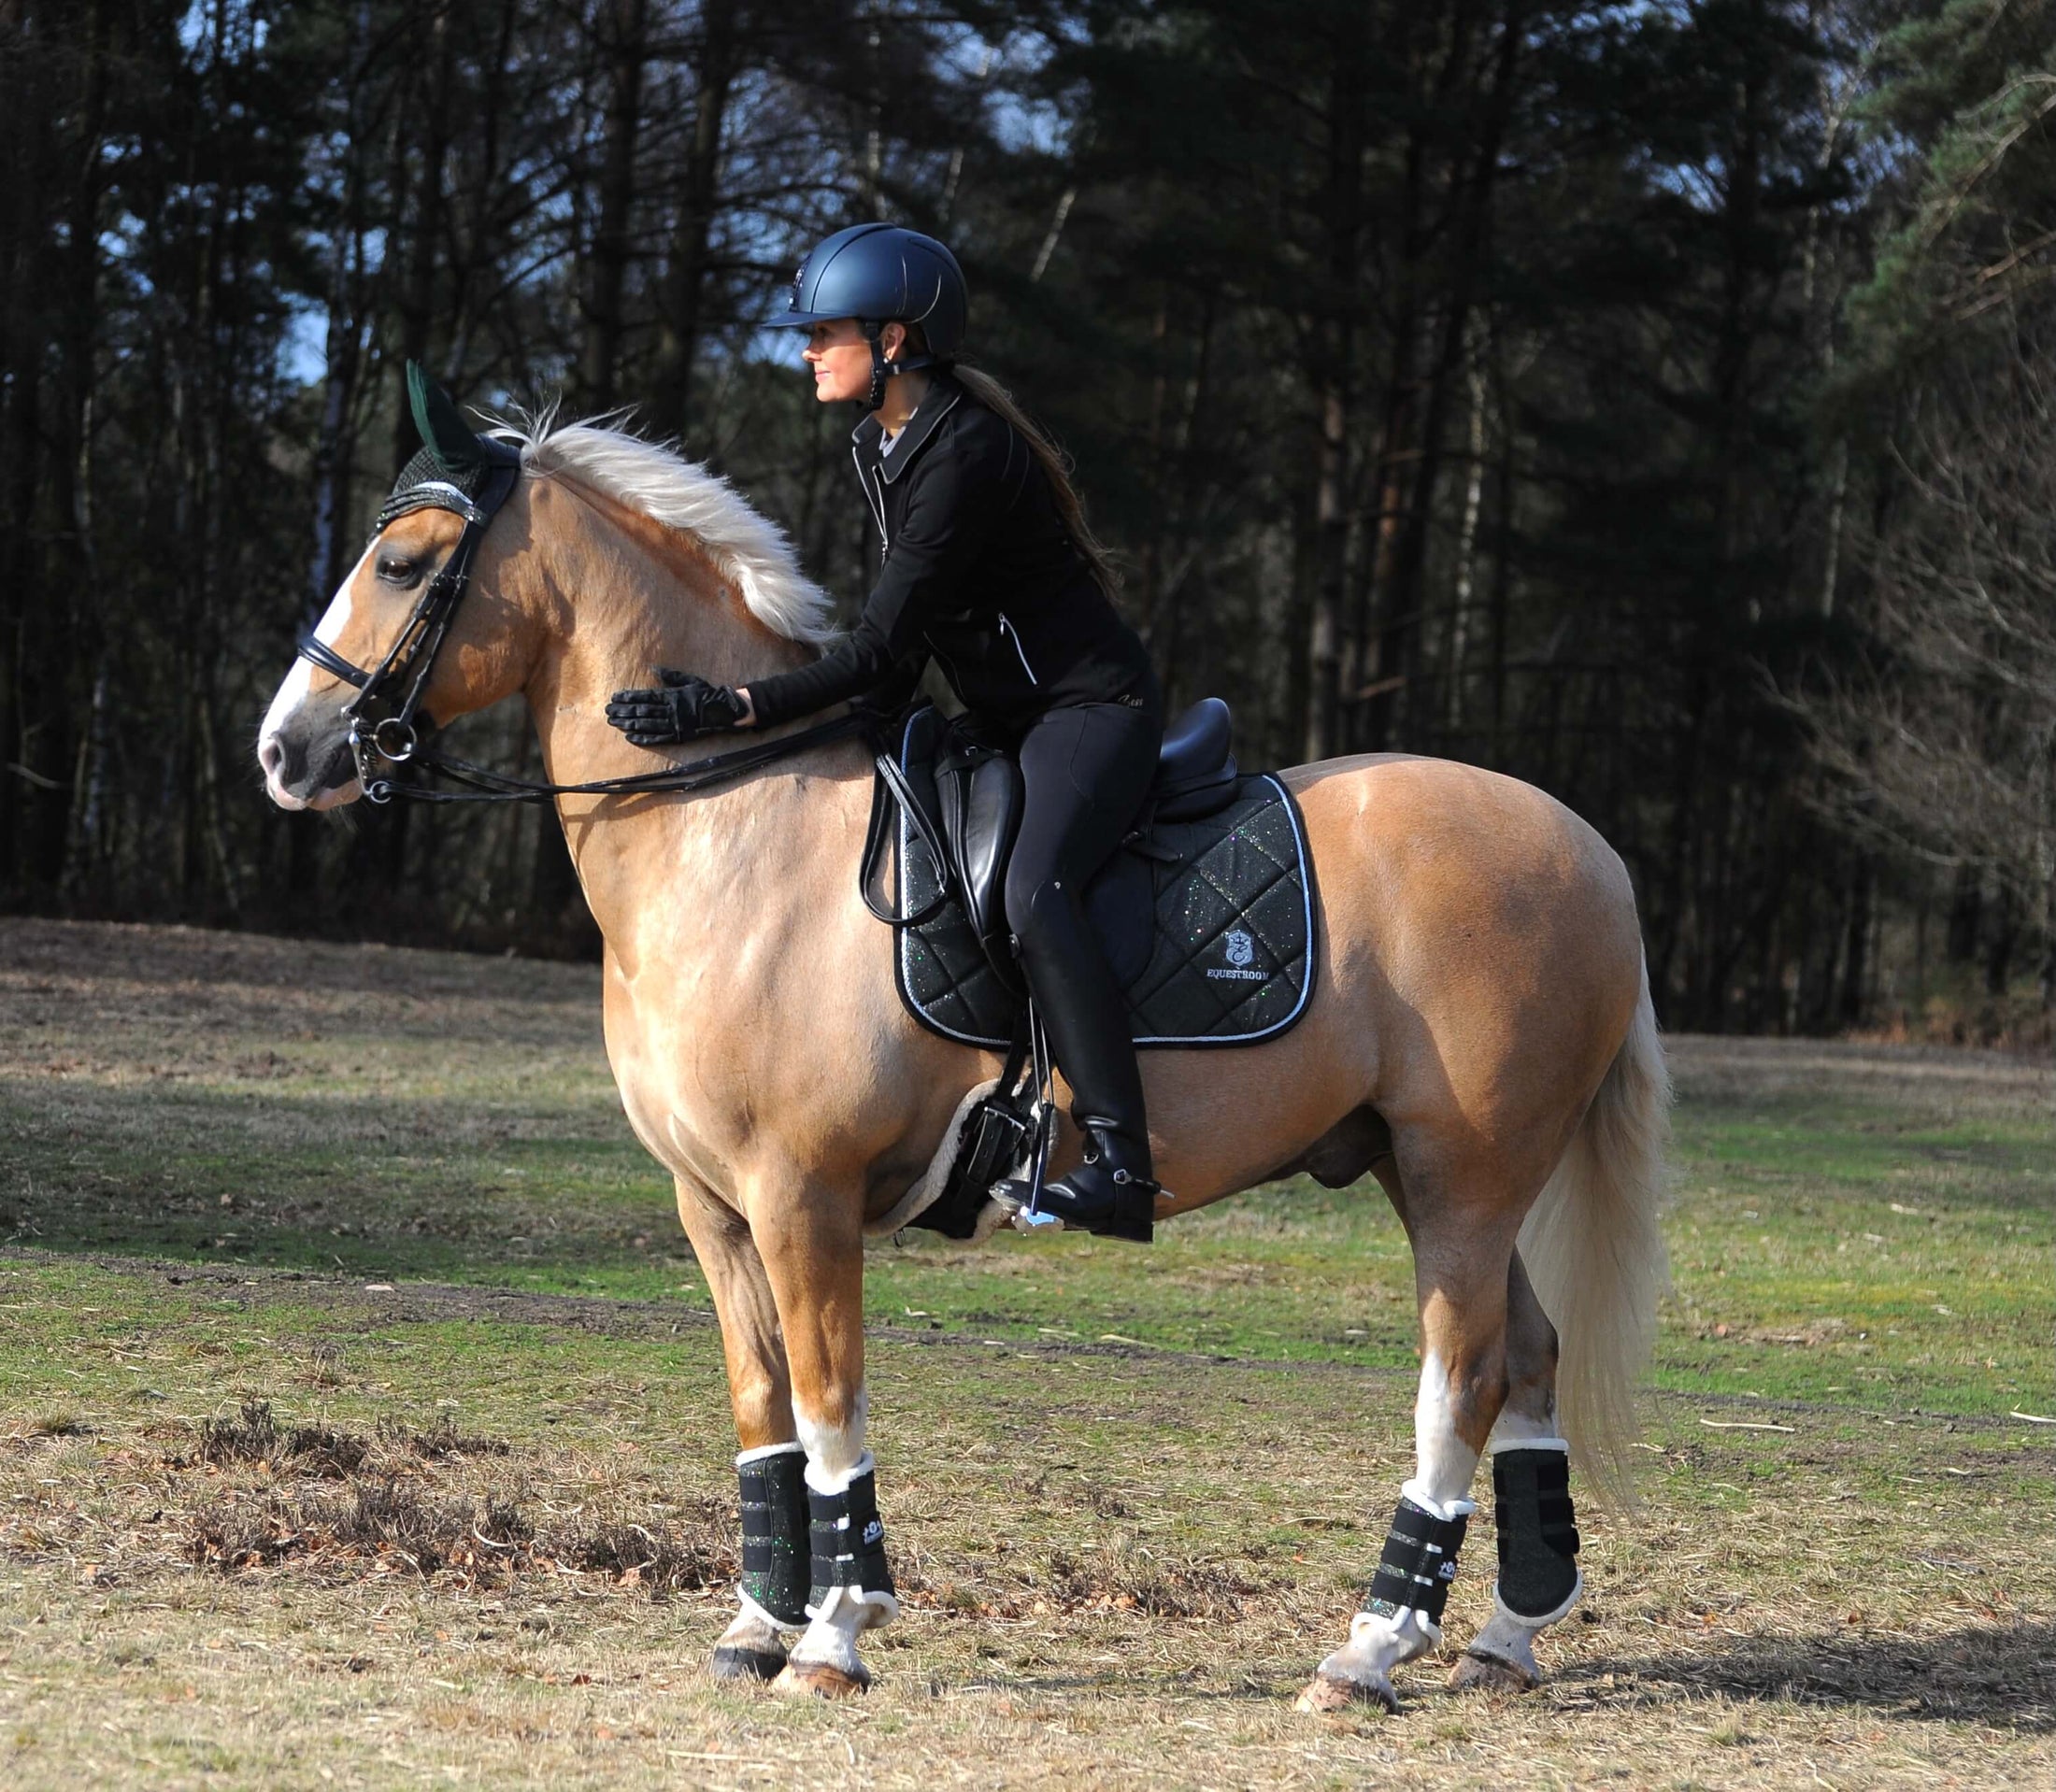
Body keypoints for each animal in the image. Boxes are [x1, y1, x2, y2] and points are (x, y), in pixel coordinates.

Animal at [257, 390, 1669, 1711]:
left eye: (403, 562)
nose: (286, 751)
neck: (731, 825)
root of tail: (1590, 849)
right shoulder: (712, 1203)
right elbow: (763, 1408)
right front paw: (756, 1623)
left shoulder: (803, 1196)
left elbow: (829, 1403)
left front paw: (832, 1635)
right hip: (1425, 1173)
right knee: (1526, 1358)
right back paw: (1502, 1636)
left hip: (1461, 1179)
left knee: (1463, 1376)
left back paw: (1369, 1650)